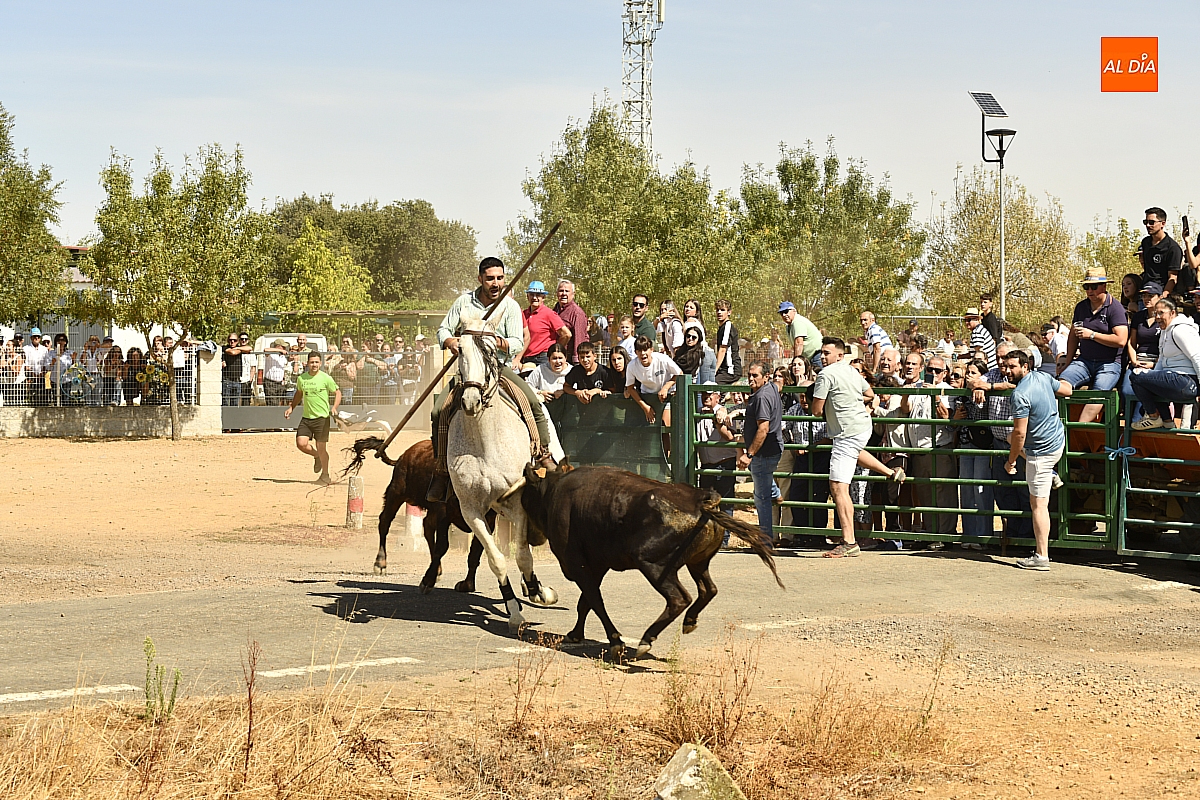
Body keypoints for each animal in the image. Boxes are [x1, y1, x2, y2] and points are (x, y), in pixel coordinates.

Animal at [450, 308, 558, 630]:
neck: (484, 441)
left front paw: (539, 591)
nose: (470, 400)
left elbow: (523, 555)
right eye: (459, 349)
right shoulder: (471, 509)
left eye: (489, 349)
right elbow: (496, 559)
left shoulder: (518, 500)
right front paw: (514, 611)